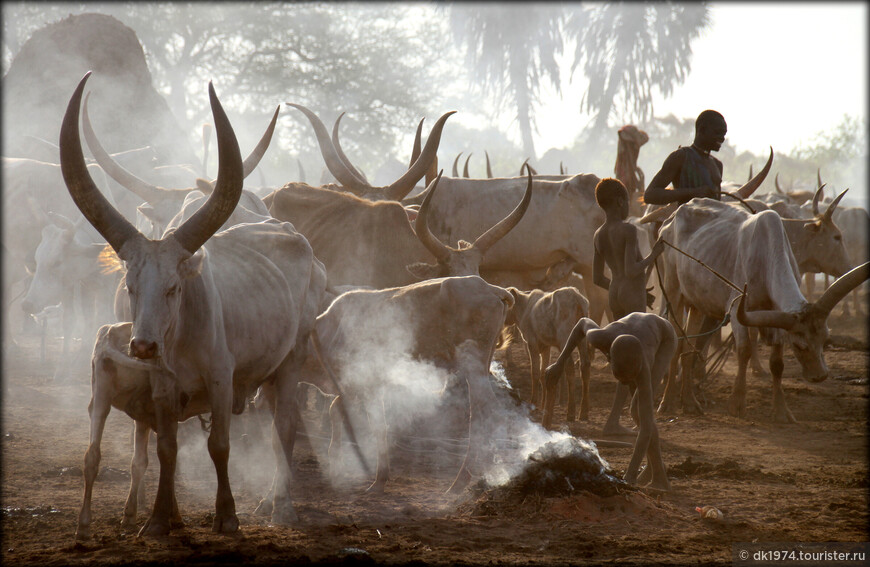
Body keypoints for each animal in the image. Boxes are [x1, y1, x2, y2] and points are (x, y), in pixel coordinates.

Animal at [62, 73, 328, 540]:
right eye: (130, 285)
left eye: (173, 288)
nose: (143, 346)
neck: (181, 336)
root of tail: (297, 238)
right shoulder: (163, 386)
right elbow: (167, 448)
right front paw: (158, 519)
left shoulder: (222, 378)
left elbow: (219, 446)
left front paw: (227, 516)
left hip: (291, 359)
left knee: (284, 427)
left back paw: (281, 506)